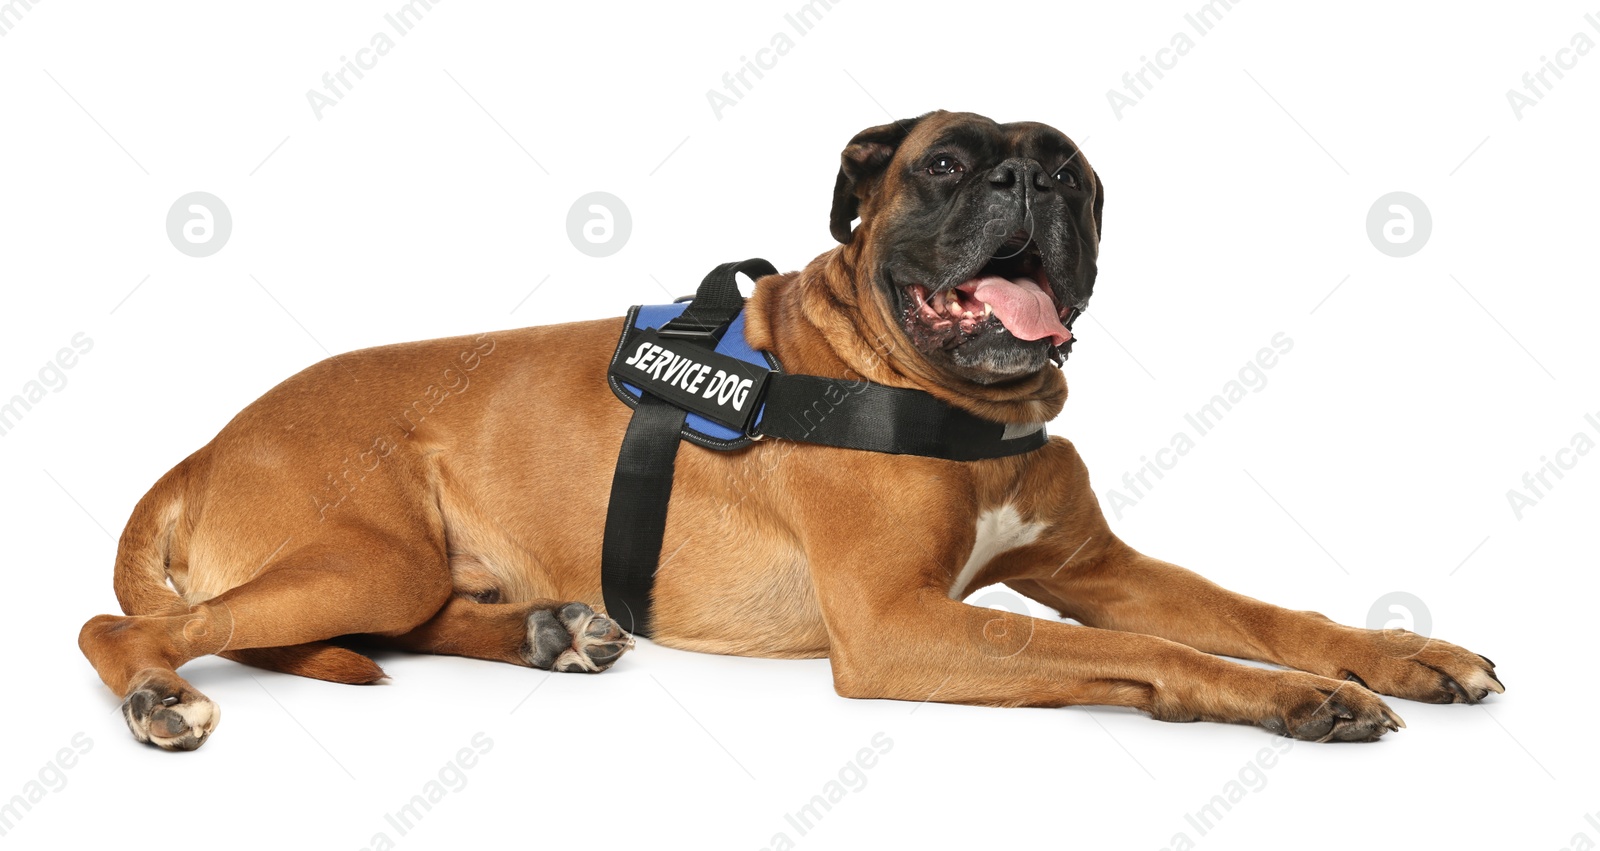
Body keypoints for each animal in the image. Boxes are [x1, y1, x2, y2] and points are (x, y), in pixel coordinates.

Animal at [75, 107, 1497, 751]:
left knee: (387, 625)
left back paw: (551, 629)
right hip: (366, 549)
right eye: (941, 163)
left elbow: (1257, 609)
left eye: (1070, 170)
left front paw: (1396, 652)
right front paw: (1301, 698)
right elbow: (1162, 654)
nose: (1023, 179)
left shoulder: (1097, 566)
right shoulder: (897, 626)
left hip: (402, 567)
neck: (948, 397)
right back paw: (157, 695)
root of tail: (204, 443)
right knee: (130, 625)